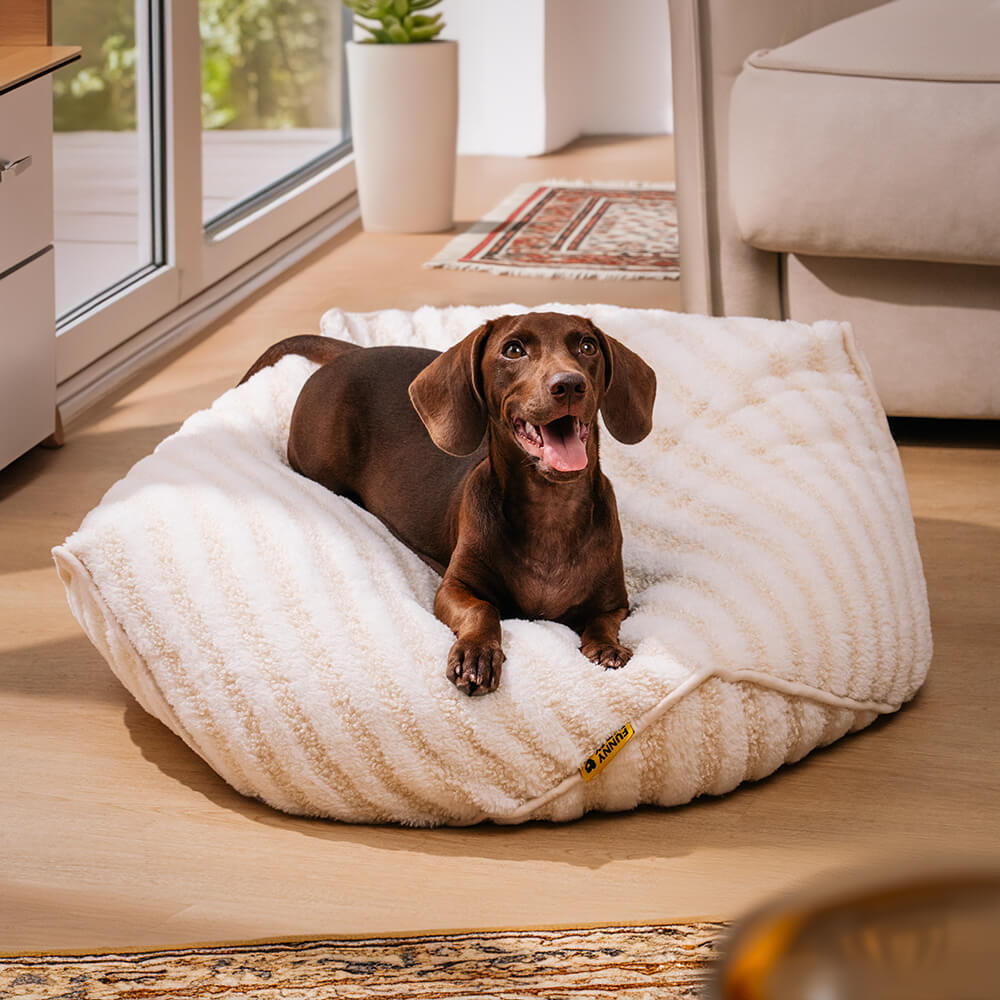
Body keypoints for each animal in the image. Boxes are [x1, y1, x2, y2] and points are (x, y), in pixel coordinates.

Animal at [241, 312, 656, 696]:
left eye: (587, 346)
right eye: (513, 350)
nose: (569, 384)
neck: (552, 509)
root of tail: (349, 355)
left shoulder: (616, 602)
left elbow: (603, 621)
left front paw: (606, 647)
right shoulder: (453, 588)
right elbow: (483, 609)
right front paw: (477, 654)